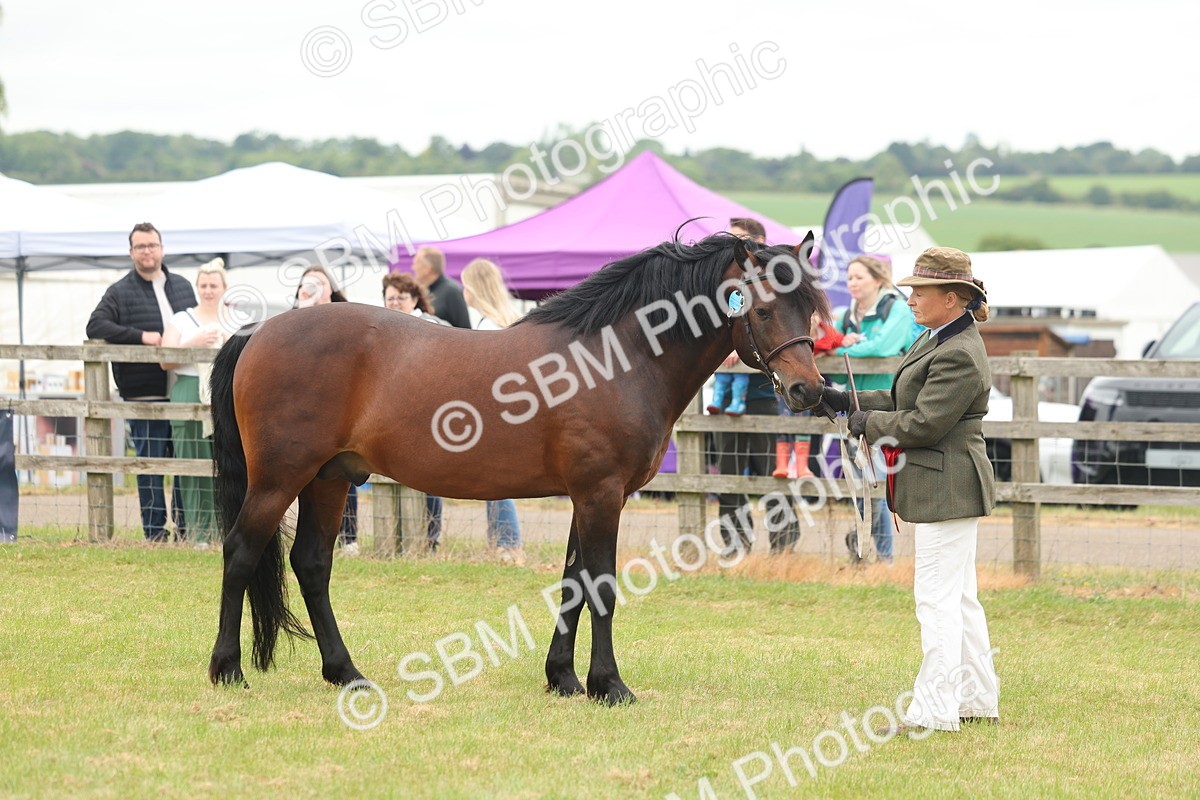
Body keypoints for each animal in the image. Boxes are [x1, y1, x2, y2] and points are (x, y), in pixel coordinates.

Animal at [207, 231, 831, 705]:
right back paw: (228, 669)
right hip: (280, 479)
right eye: (764, 308)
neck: (616, 358)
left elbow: (574, 583)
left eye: (811, 308)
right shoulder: (601, 493)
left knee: (312, 564)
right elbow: (601, 586)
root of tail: (259, 331)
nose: (808, 389)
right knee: (241, 551)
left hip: (330, 479)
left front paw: (564, 678)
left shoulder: (587, 496)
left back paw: (346, 673)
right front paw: (610, 686)